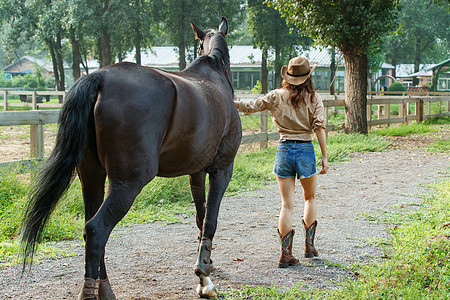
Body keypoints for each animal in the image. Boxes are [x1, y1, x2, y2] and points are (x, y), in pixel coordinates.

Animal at [21, 17, 241, 298]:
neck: (212, 75)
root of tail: (100, 77)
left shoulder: (197, 171)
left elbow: (200, 218)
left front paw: (206, 269)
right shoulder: (222, 169)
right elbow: (210, 220)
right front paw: (204, 277)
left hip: (92, 178)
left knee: (90, 228)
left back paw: (103, 288)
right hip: (128, 183)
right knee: (96, 230)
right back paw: (91, 291)